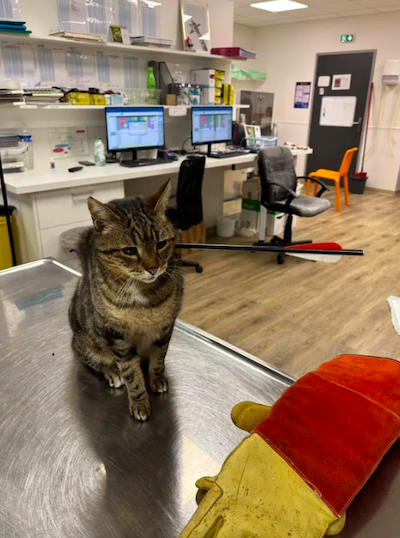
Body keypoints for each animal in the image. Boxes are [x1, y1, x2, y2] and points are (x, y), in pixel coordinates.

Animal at [68, 180, 184, 418]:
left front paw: (157, 379)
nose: (153, 268)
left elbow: (159, 358)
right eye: (129, 250)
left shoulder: (165, 327)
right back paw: (112, 372)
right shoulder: (116, 336)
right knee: (95, 361)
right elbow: (131, 372)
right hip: (87, 343)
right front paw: (139, 402)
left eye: (161, 243)